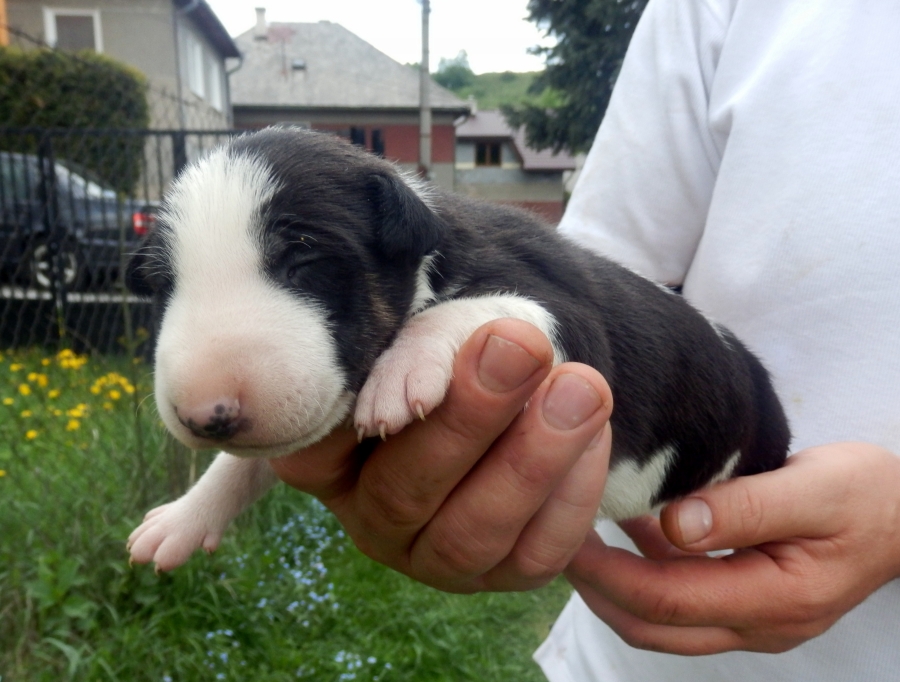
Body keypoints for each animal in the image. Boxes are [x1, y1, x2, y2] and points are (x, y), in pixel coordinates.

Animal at [126, 127, 790, 572]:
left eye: (304, 259)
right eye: (163, 284)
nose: (207, 413)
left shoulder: (574, 320)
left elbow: (475, 308)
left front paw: (400, 372)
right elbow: (243, 462)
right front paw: (182, 518)